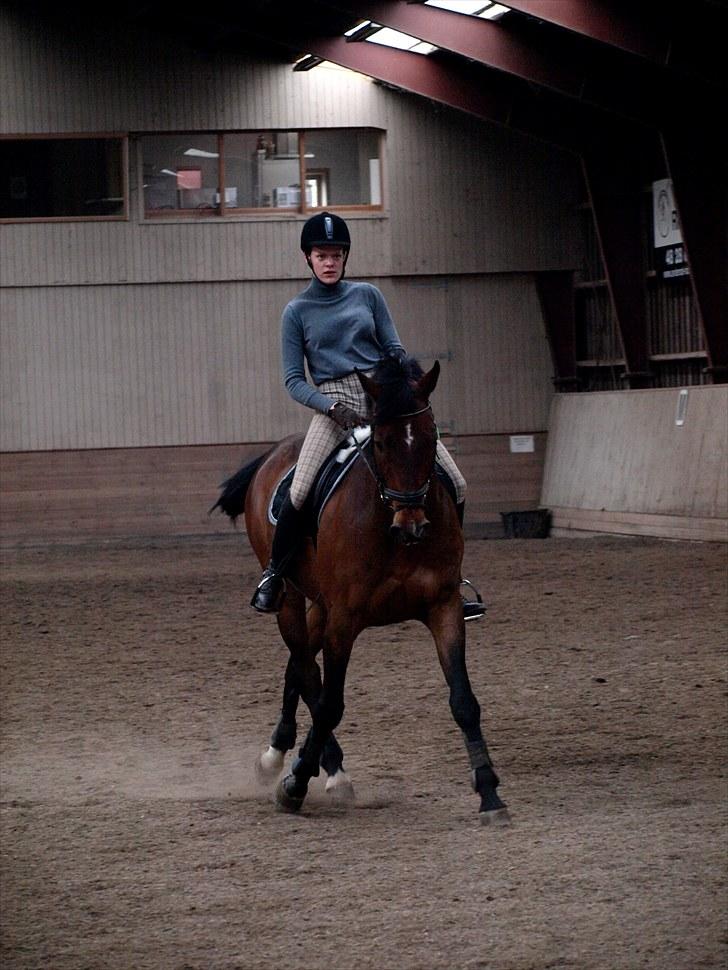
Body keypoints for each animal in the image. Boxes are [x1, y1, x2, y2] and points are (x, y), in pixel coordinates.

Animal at [218, 352, 506, 820]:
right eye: (383, 443)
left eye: (431, 438)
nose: (413, 526)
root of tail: (274, 452)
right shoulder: (346, 619)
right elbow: (330, 704)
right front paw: (296, 784)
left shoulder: (443, 607)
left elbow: (464, 701)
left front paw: (489, 792)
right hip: (291, 598)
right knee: (307, 671)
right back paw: (320, 769)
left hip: (320, 604)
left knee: (299, 666)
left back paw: (278, 755)